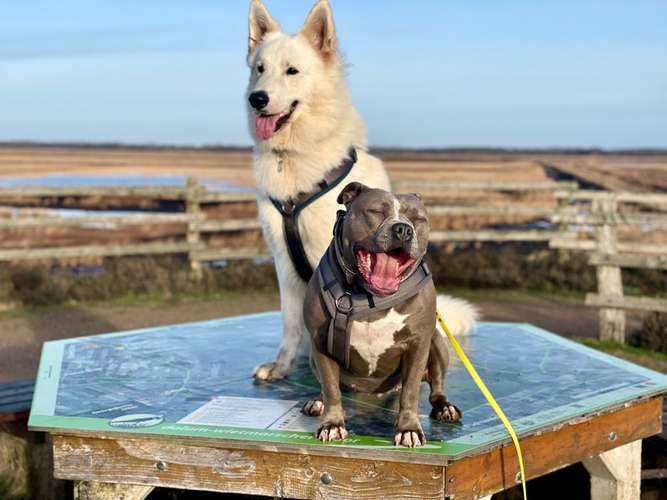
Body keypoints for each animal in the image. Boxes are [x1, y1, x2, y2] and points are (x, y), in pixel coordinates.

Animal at [248, 0, 478, 380]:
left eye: (292, 71)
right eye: (259, 69)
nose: (256, 98)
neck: (296, 156)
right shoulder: (282, 260)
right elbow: (290, 321)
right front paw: (282, 365)